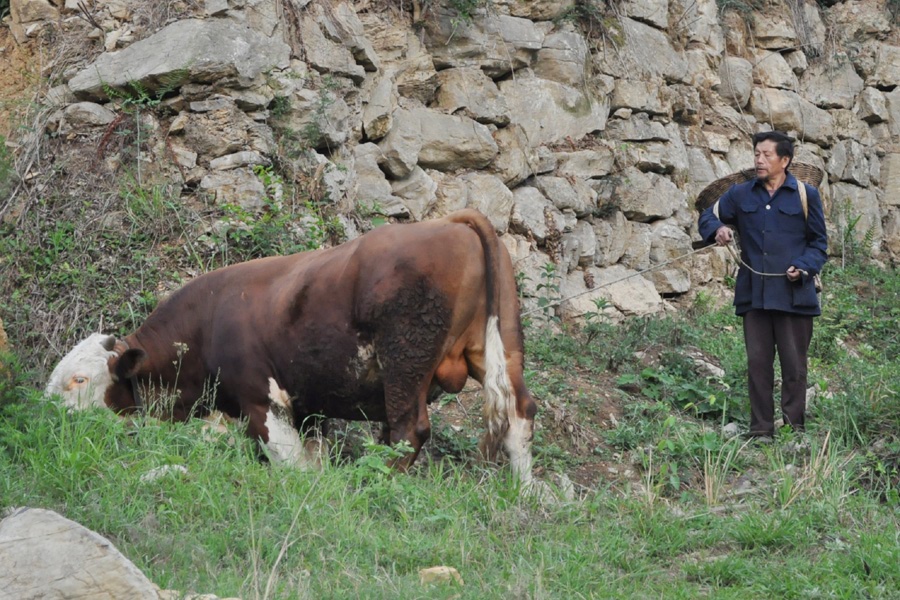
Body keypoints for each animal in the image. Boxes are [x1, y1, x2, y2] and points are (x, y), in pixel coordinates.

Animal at [47, 209, 536, 480]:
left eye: (78, 379)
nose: (47, 416)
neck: (207, 322)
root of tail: (449, 222)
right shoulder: (307, 407)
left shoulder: (262, 398)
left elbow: (289, 460)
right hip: (498, 346)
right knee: (517, 414)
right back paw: (527, 493)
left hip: (405, 358)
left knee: (407, 428)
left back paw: (376, 481)